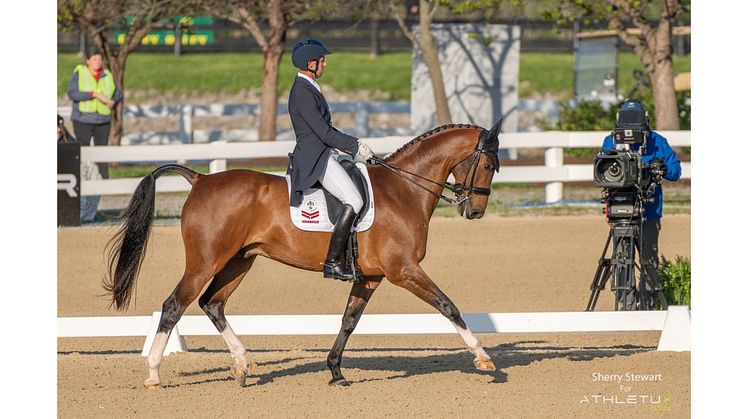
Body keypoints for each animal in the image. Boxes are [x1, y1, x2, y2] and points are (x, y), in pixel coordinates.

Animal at [104, 120, 500, 388]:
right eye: (488, 165)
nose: (475, 211)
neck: (404, 188)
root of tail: (200, 179)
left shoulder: (372, 276)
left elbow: (349, 321)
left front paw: (336, 371)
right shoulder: (404, 270)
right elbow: (448, 305)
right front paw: (483, 358)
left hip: (238, 261)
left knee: (212, 303)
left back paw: (242, 365)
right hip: (205, 262)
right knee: (174, 305)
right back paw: (154, 374)